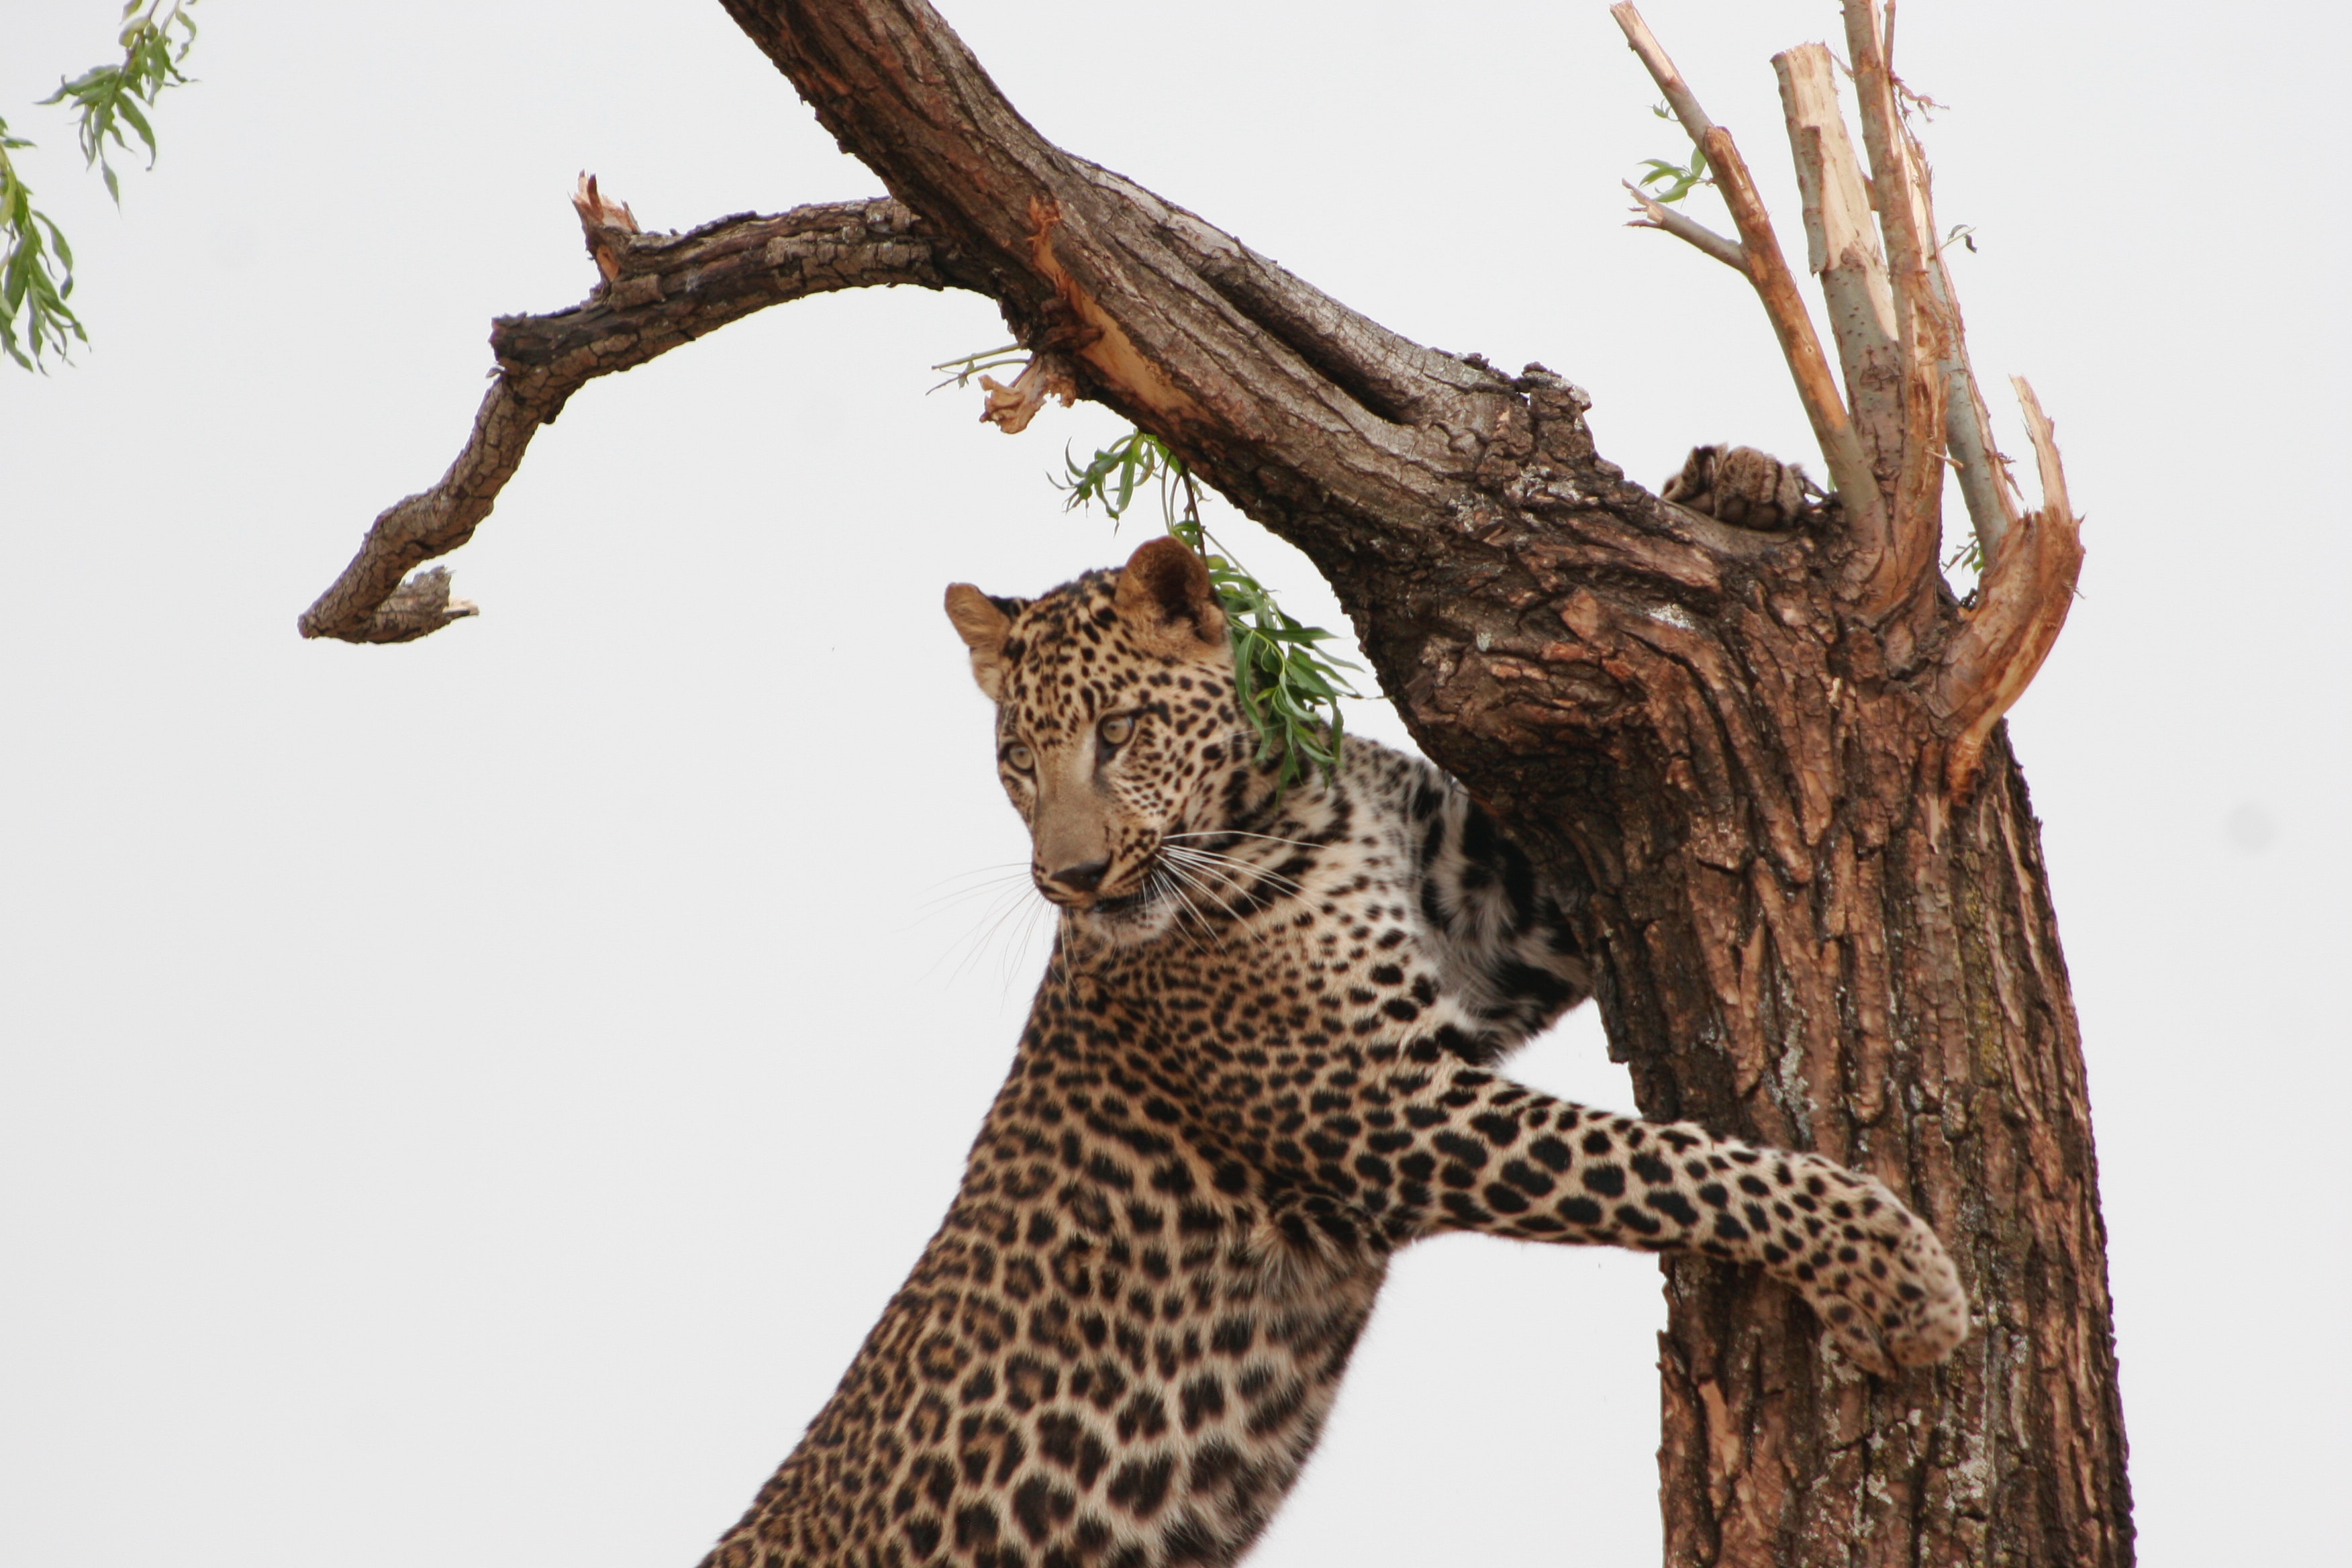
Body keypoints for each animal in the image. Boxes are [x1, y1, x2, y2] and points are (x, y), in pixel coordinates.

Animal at [691, 534, 1966, 1561]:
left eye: (1119, 732)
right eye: (1016, 757)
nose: (1071, 879)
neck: (1287, 809)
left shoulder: (1497, 923)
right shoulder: (1386, 1111)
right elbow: (1670, 1167)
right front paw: (1896, 1275)